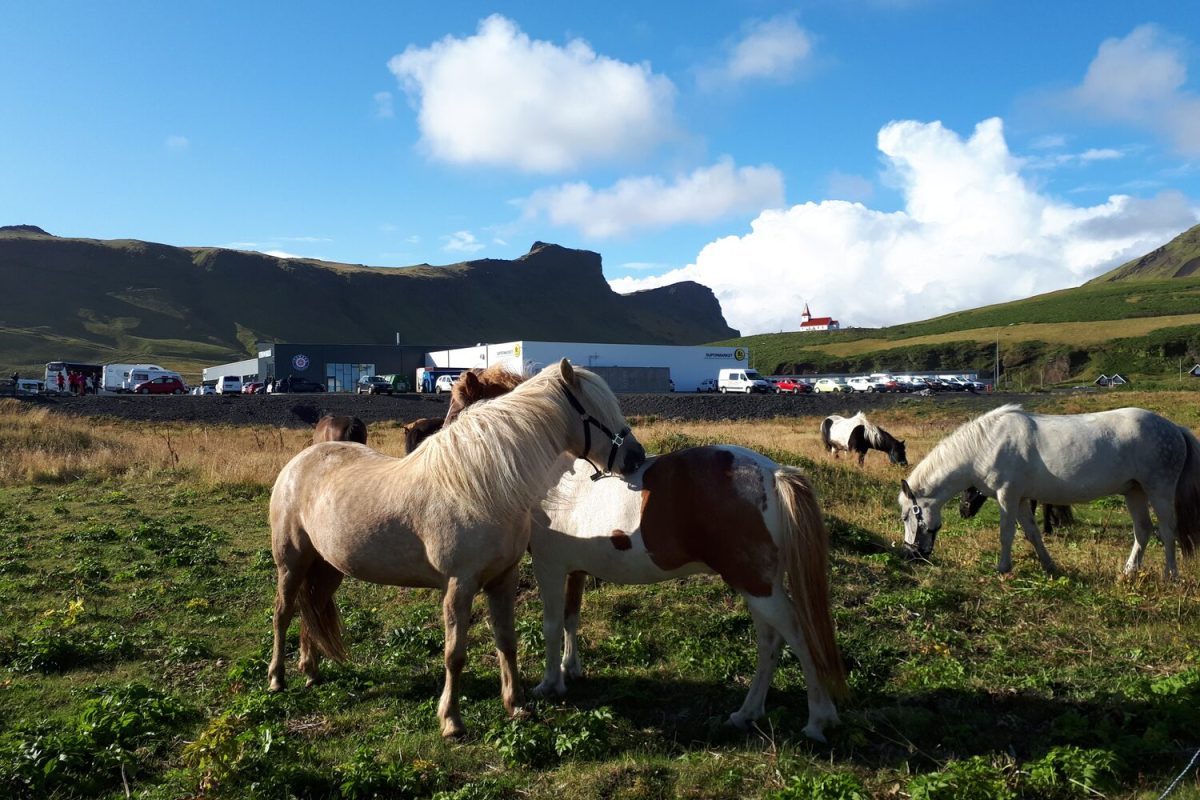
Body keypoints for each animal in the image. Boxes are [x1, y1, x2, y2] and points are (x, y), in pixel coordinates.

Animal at [267, 359, 646, 738]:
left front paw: (516, 705)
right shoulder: (458, 586)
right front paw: (451, 720)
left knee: (312, 608)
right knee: (283, 612)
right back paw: (277, 679)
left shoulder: (502, 581)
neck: (482, 487)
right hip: (291, 563)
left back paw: (311, 671)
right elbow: (455, 654)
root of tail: (299, 461)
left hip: (328, 567)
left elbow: (506, 641)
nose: (636, 456)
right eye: (598, 411)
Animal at [406, 370, 847, 741]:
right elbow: (571, 618)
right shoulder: (576, 569)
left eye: (458, 404)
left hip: (757, 584)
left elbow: (551, 624)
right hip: (755, 585)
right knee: (770, 642)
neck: (551, 478)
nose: (432, 452)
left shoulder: (550, 566)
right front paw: (570, 670)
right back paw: (747, 712)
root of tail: (773, 473)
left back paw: (818, 719)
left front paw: (550, 683)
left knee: (796, 635)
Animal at [898, 404, 1200, 576]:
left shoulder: (1007, 496)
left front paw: (1002, 568)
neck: (985, 444)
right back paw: (1129, 572)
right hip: (1134, 492)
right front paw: (1049, 566)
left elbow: (1006, 534)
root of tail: (1174, 429)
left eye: (906, 516)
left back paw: (1171, 575)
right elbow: (1032, 534)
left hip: (1159, 489)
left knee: (1167, 530)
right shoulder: (1020, 499)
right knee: (1143, 531)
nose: (912, 554)